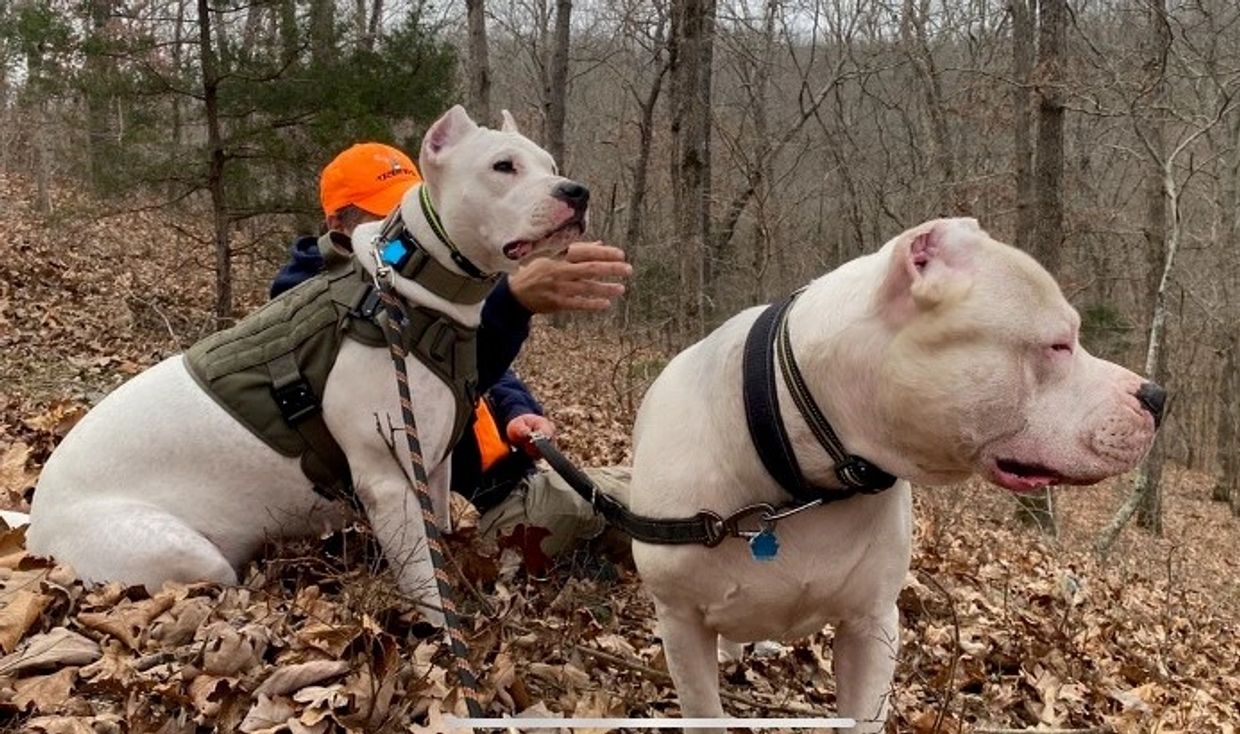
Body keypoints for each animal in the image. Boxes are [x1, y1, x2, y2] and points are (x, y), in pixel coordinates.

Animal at [24, 102, 585, 622]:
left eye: (551, 163)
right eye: (503, 166)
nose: (576, 191)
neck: (409, 287)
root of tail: (34, 536)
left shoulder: (433, 462)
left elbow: (441, 533)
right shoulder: (386, 480)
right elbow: (427, 581)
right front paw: (443, 634)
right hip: (179, 551)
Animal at [629, 218, 1160, 734]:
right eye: (1058, 345)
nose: (1158, 396)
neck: (803, 472)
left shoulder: (872, 626)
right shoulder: (680, 621)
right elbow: (703, 710)